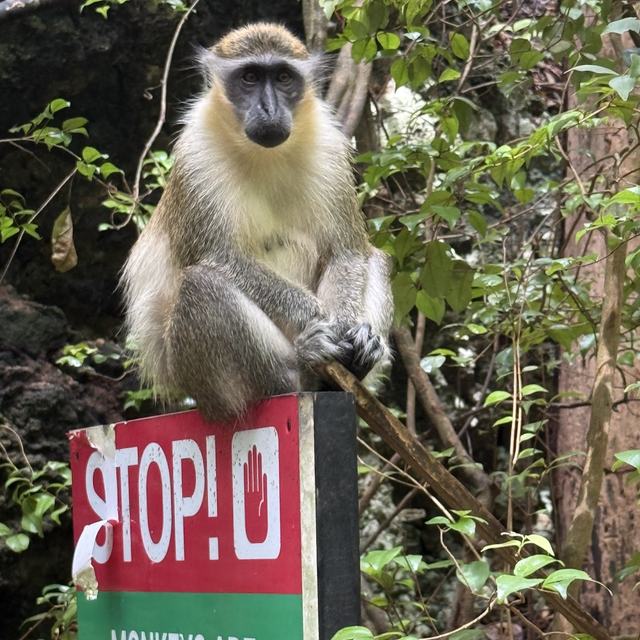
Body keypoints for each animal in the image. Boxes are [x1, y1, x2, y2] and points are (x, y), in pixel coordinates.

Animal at [121, 23, 394, 422]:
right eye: (249, 77)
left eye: (283, 77)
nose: (269, 109)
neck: (265, 155)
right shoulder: (195, 158)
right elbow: (221, 258)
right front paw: (318, 319)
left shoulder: (330, 149)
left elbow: (347, 252)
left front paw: (352, 332)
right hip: (203, 380)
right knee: (201, 283)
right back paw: (300, 364)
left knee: (373, 257)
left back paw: (353, 366)